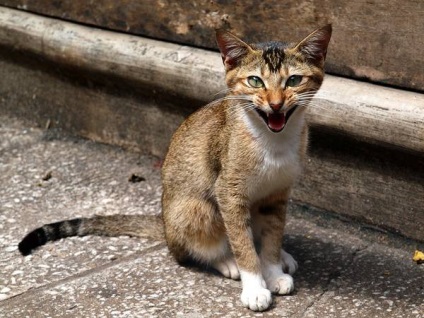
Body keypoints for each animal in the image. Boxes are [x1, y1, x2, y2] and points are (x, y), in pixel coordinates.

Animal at [19, 24, 332, 310]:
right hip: (195, 208)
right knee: (195, 245)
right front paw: (255, 286)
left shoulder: (278, 193)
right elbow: (242, 243)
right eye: (255, 81)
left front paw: (273, 269)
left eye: (293, 80)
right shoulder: (228, 192)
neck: (272, 142)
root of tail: (165, 226)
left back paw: (282, 256)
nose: (276, 104)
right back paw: (226, 261)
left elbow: (272, 234)